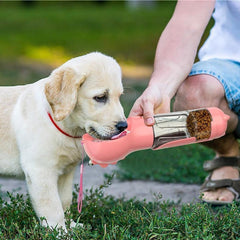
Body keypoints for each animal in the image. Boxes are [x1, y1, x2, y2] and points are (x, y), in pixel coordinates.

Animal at [0, 53, 127, 231]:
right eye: (100, 97)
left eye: (119, 96)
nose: (124, 126)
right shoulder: (40, 171)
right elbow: (53, 208)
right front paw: (58, 232)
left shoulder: (66, 172)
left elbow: (65, 201)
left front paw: (71, 226)